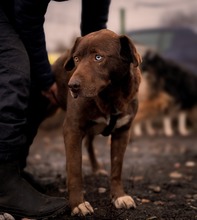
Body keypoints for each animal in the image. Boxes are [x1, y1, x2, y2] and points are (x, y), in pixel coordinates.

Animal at [52, 28, 142, 216]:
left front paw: (119, 196)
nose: (72, 86)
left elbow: (116, 167)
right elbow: (75, 170)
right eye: (76, 59)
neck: (110, 95)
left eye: (98, 57)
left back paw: (96, 167)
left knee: (88, 144)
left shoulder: (123, 131)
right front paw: (77, 204)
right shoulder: (72, 128)